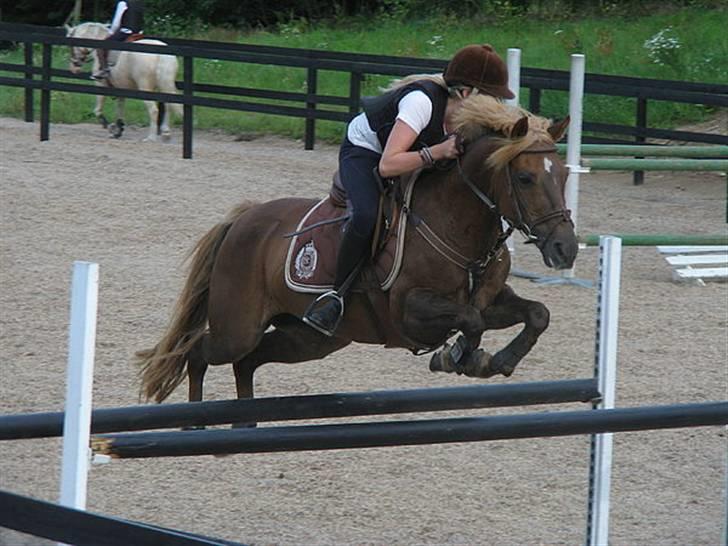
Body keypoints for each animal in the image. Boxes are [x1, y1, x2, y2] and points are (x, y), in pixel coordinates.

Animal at [135, 93, 580, 410]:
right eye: (524, 178)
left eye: (563, 174)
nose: (566, 248)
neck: (459, 224)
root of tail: (241, 220)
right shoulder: (410, 312)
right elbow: (470, 321)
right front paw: (459, 357)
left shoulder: (492, 299)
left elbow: (536, 313)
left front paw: (496, 361)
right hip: (238, 328)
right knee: (199, 352)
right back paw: (194, 425)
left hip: (309, 338)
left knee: (248, 361)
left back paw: (244, 426)